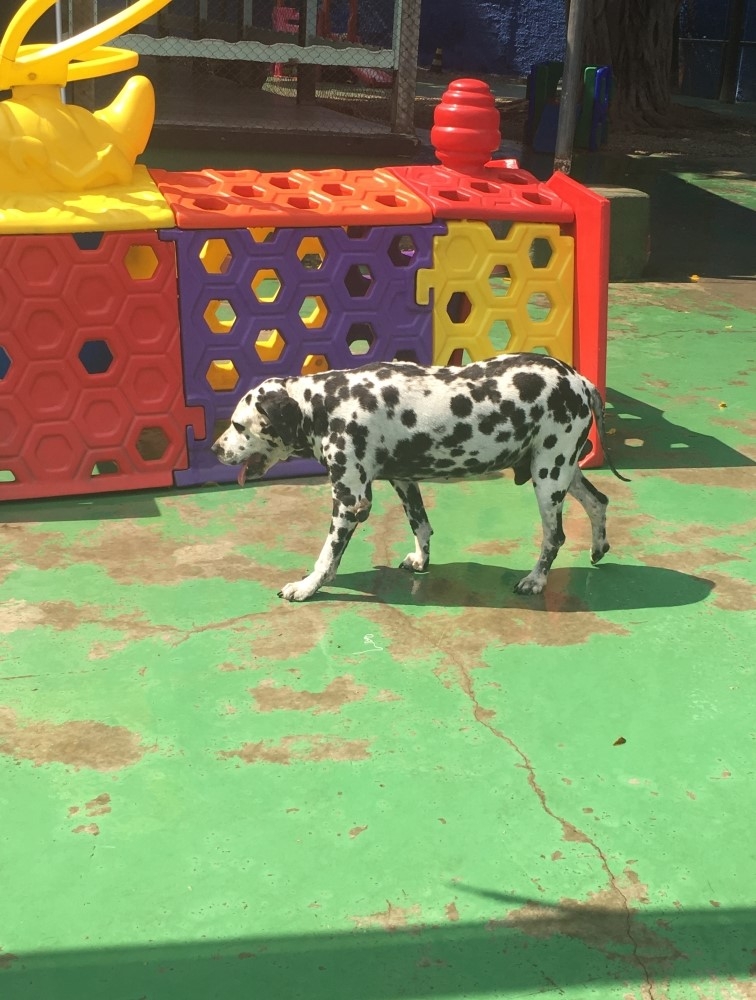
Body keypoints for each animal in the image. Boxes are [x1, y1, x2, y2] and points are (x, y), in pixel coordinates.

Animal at [211, 352, 628, 600]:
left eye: (238, 425)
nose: (215, 449)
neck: (328, 404)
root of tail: (580, 381)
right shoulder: (403, 481)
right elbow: (421, 526)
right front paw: (420, 560)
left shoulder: (349, 501)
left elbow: (326, 557)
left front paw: (307, 586)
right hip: (562, 473)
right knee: (599, 501)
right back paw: (598, 547)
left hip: (549, 479)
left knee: (554, 536)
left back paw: (536, 580)